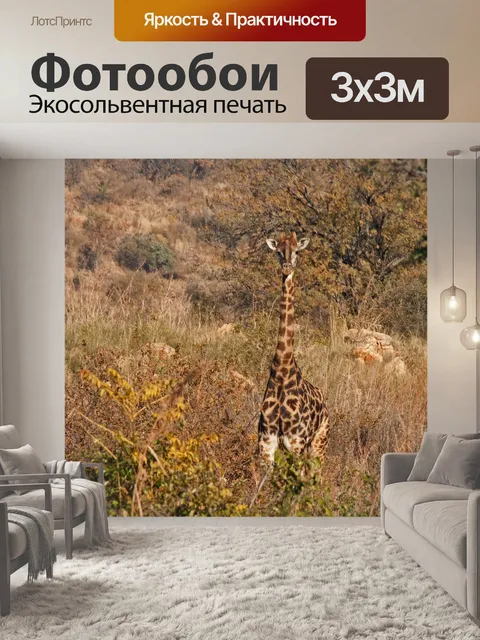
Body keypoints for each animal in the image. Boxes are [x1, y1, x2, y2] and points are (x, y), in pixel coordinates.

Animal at [257, 232, 329, 465]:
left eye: (297, 251)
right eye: (279, 252)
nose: (287, 268)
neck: (281, 371)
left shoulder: (295, 444)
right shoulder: (266, 443)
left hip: (319, 443)